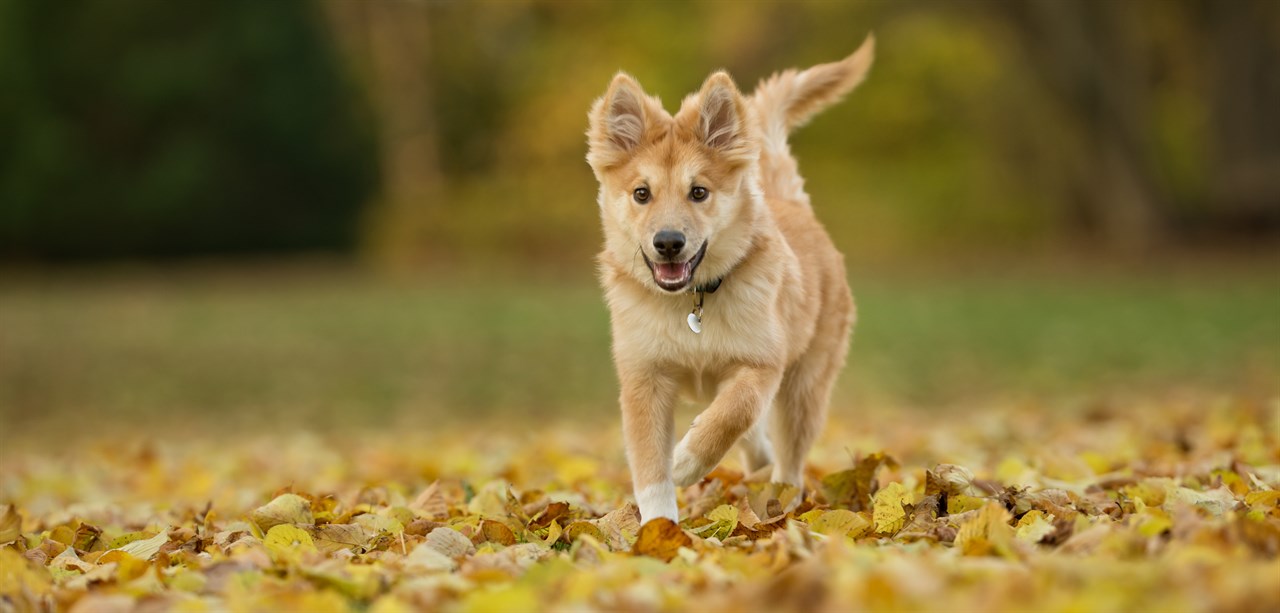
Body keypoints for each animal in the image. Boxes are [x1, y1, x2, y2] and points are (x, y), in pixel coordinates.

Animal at [586, 35, 870, 524]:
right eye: (641, 193)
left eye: (699, 192)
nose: (668, 242)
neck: (690, 305)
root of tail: (793, 204)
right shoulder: (644, 378)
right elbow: (649, 467)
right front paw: (659, 528)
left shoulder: (762, 362)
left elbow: (736, 411)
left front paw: (686, 460)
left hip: (805, 385)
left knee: (789, 456)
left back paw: (782, 500)